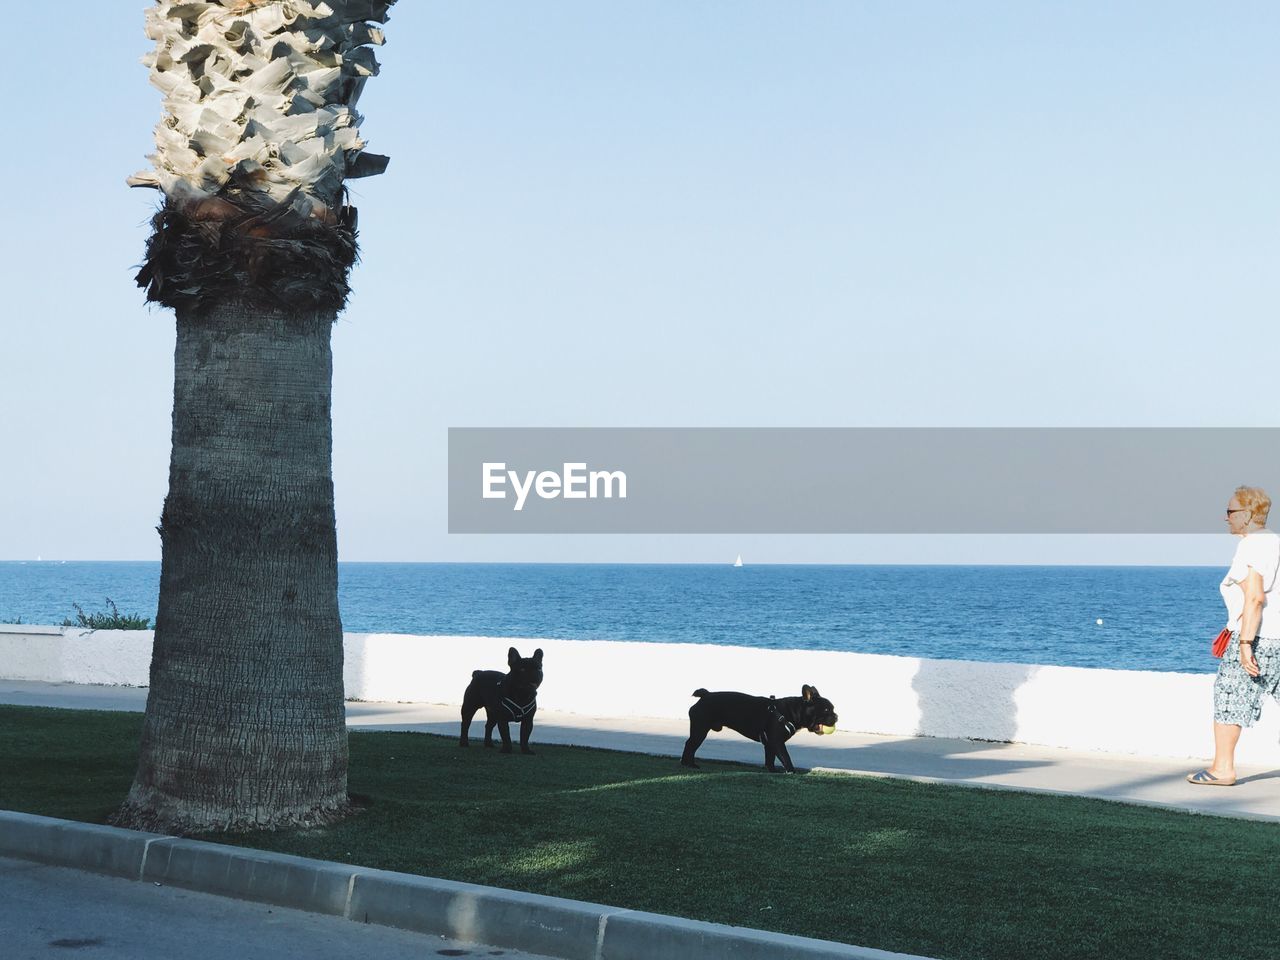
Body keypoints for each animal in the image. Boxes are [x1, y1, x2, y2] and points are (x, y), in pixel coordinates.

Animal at [680, 686, 839, 773]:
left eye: (832, 709)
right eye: (826, 710)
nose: (836, 716)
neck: (791, 712)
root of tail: (705, 695)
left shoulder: (770, 744)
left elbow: (770, 759)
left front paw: (772, 771)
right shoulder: (777, 742)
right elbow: (786, 758)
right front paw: (791, 772)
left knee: (691, 745)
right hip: (700, 730)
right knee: (691, 745)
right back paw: (689, 764)